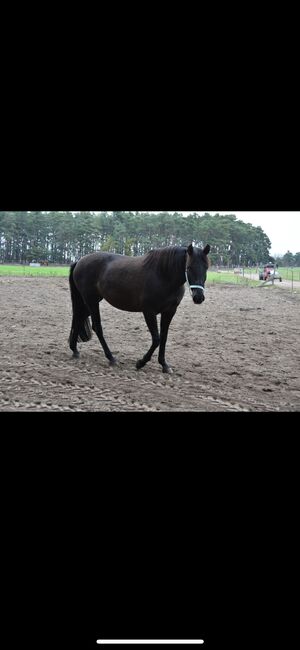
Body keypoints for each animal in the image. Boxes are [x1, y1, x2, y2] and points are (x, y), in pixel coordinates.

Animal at [68, 243, 210, 372]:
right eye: (189, 268)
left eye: (206, 268)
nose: (198, 297)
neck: (163, 275)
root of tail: (80, 261)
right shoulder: (149, 312)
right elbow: (156, 339)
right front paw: (141, 362)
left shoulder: (169, 311)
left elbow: (164, 337)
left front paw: (164, 364)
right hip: (91, 301)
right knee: (97, 327)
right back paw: (111, 358)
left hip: (90, 301)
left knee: (78, 318)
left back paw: (74, 350)